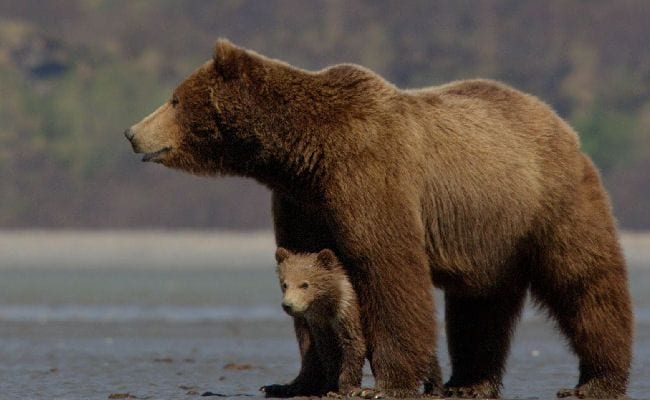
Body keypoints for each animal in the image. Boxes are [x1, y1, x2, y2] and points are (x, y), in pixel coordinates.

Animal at [261, 247, 365, 398]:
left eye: (304, 284)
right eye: (285, 284)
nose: (288, 305)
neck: (326, 307)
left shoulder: (344, 315)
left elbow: (353, 345)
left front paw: (347, 388)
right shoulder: (319, 324)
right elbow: (327, 353)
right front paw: (329, 385)